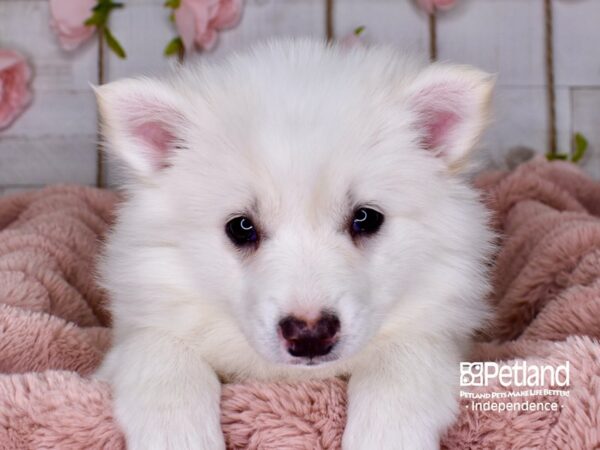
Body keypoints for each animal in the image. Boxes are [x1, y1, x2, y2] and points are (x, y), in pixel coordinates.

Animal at [95, 39, 492, 450]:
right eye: (241, 227)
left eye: (366, 218)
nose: (310, 335)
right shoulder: (143, 323)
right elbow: (159, 353)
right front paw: (177, 433)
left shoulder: (443, 331)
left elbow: (403, 362)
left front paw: (386, 435)